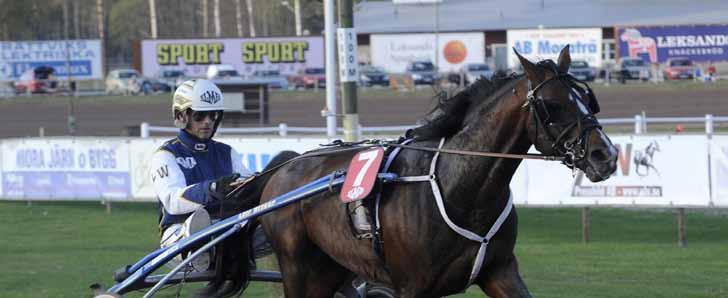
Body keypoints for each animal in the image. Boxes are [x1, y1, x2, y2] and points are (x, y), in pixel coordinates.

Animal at [255, 45, 616, 296]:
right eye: (553, 105)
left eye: (587, 98)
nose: (606, 155)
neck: (462, 187)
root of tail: (285, 168)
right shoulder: (411, 286)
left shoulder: (500, 271)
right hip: (300, 269)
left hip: (334, 267)